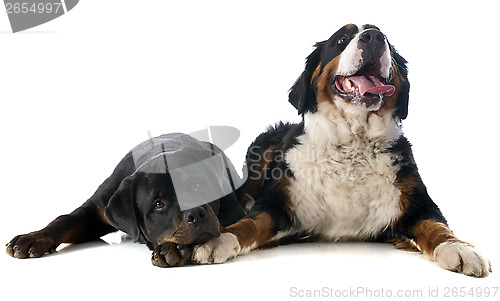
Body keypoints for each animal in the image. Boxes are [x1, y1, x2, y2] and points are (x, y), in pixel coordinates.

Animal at [5, 132, 244, 266]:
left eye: (198, 186)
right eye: (159, 205)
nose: (195, 212)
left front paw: (172, 248)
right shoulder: (97, 208)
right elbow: (64, 221)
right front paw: (32, 237)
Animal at [191, 23, 492, 276]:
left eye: (386, 39)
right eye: (342, 39)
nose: (374, 37)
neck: (351, 147)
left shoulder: (416, 203)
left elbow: (436, 226)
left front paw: (460, 248)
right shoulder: (278, 204)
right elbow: (249, 223)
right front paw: (217, 240)